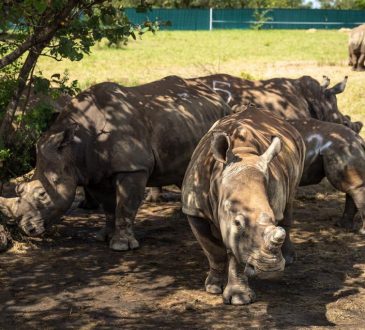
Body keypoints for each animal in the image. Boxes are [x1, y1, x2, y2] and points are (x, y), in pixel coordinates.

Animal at [0, 75, 230, 250]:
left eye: (42, 194)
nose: (27, 229)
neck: (74, 149)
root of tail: (217, 96)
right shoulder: (92, 172)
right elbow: (109, 207)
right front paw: (104, 237)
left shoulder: (133, 167)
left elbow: (126, 205)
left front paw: (121, 245)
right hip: (186, 121)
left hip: (220, 119)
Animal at [181, 107, 304, 304]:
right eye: (238, 223)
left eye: (272, 218)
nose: (271, 269)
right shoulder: (194, 210)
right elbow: (213, 250)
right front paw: (213, 288)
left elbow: (236, 253)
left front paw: (239, 299)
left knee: (290, 199)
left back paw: (289, 259)